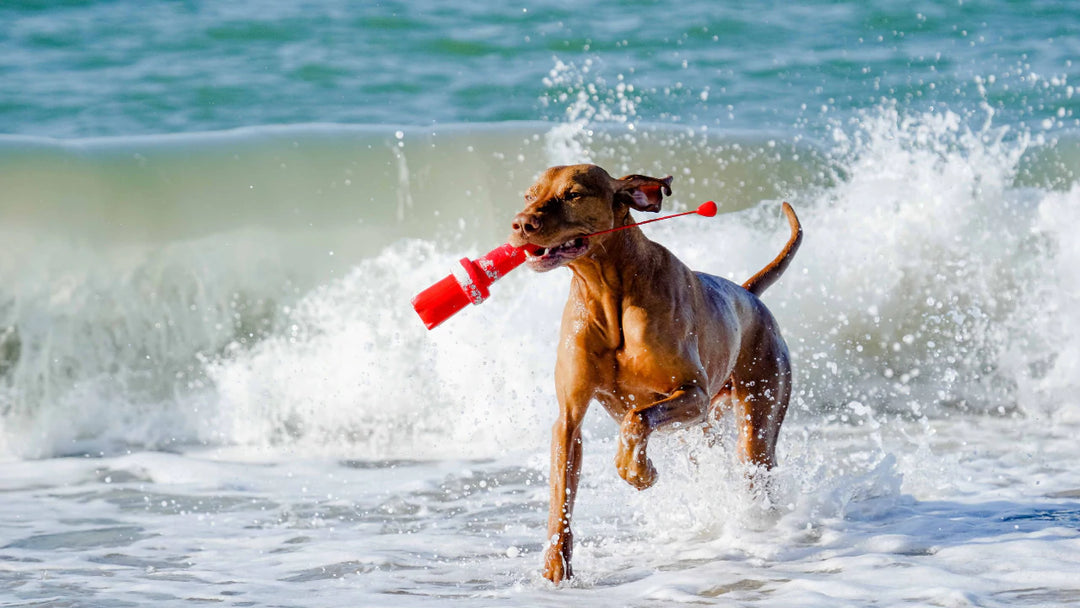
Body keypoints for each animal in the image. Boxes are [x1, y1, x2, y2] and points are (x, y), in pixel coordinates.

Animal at [505, 164, 803, 583]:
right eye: (531, 194)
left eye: (573, 194)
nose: (520, 223)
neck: (606, 292)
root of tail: (748, 294)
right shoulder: (568, 420)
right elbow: (560, 491)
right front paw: (555, 564)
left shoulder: (693, 395)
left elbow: (636, 418)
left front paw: (639, 472)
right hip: (699, 433)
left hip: (757, 410)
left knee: (754, 463)